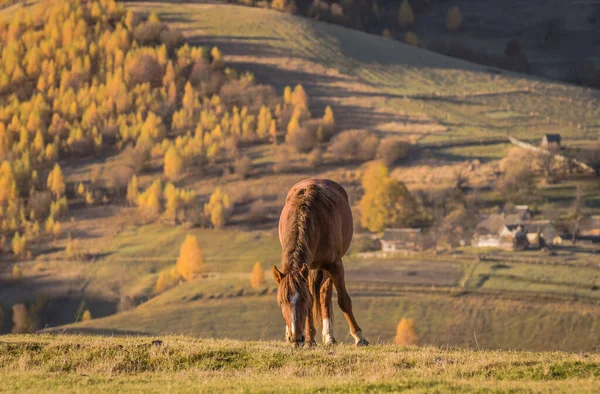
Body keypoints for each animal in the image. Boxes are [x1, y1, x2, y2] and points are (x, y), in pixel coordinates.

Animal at [270, 180, 366, 346]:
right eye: (281, 302)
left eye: (302, 299)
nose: (296, 338)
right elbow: (312, 299)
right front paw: (309, 339)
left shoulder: (335, 265)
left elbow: (343, 300)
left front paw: (359, 336)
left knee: (324, 295)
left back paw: (329, 336)